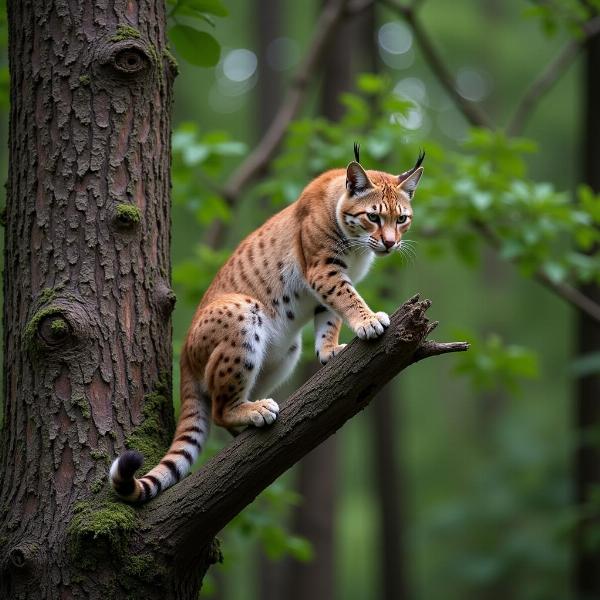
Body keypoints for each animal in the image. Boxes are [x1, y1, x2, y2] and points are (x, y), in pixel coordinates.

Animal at [110, 146, 424, 502]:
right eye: (373, 217)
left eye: (402, 219)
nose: (390, 243)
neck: (355, 242)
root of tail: (184, 356)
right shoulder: (324, 270)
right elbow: (348, 299)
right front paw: (369, 321)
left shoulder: (323, 287)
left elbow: (330, 318)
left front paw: (330, 350)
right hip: (244, 312)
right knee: (218, 409)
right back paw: (255, 411)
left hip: (285, 352)